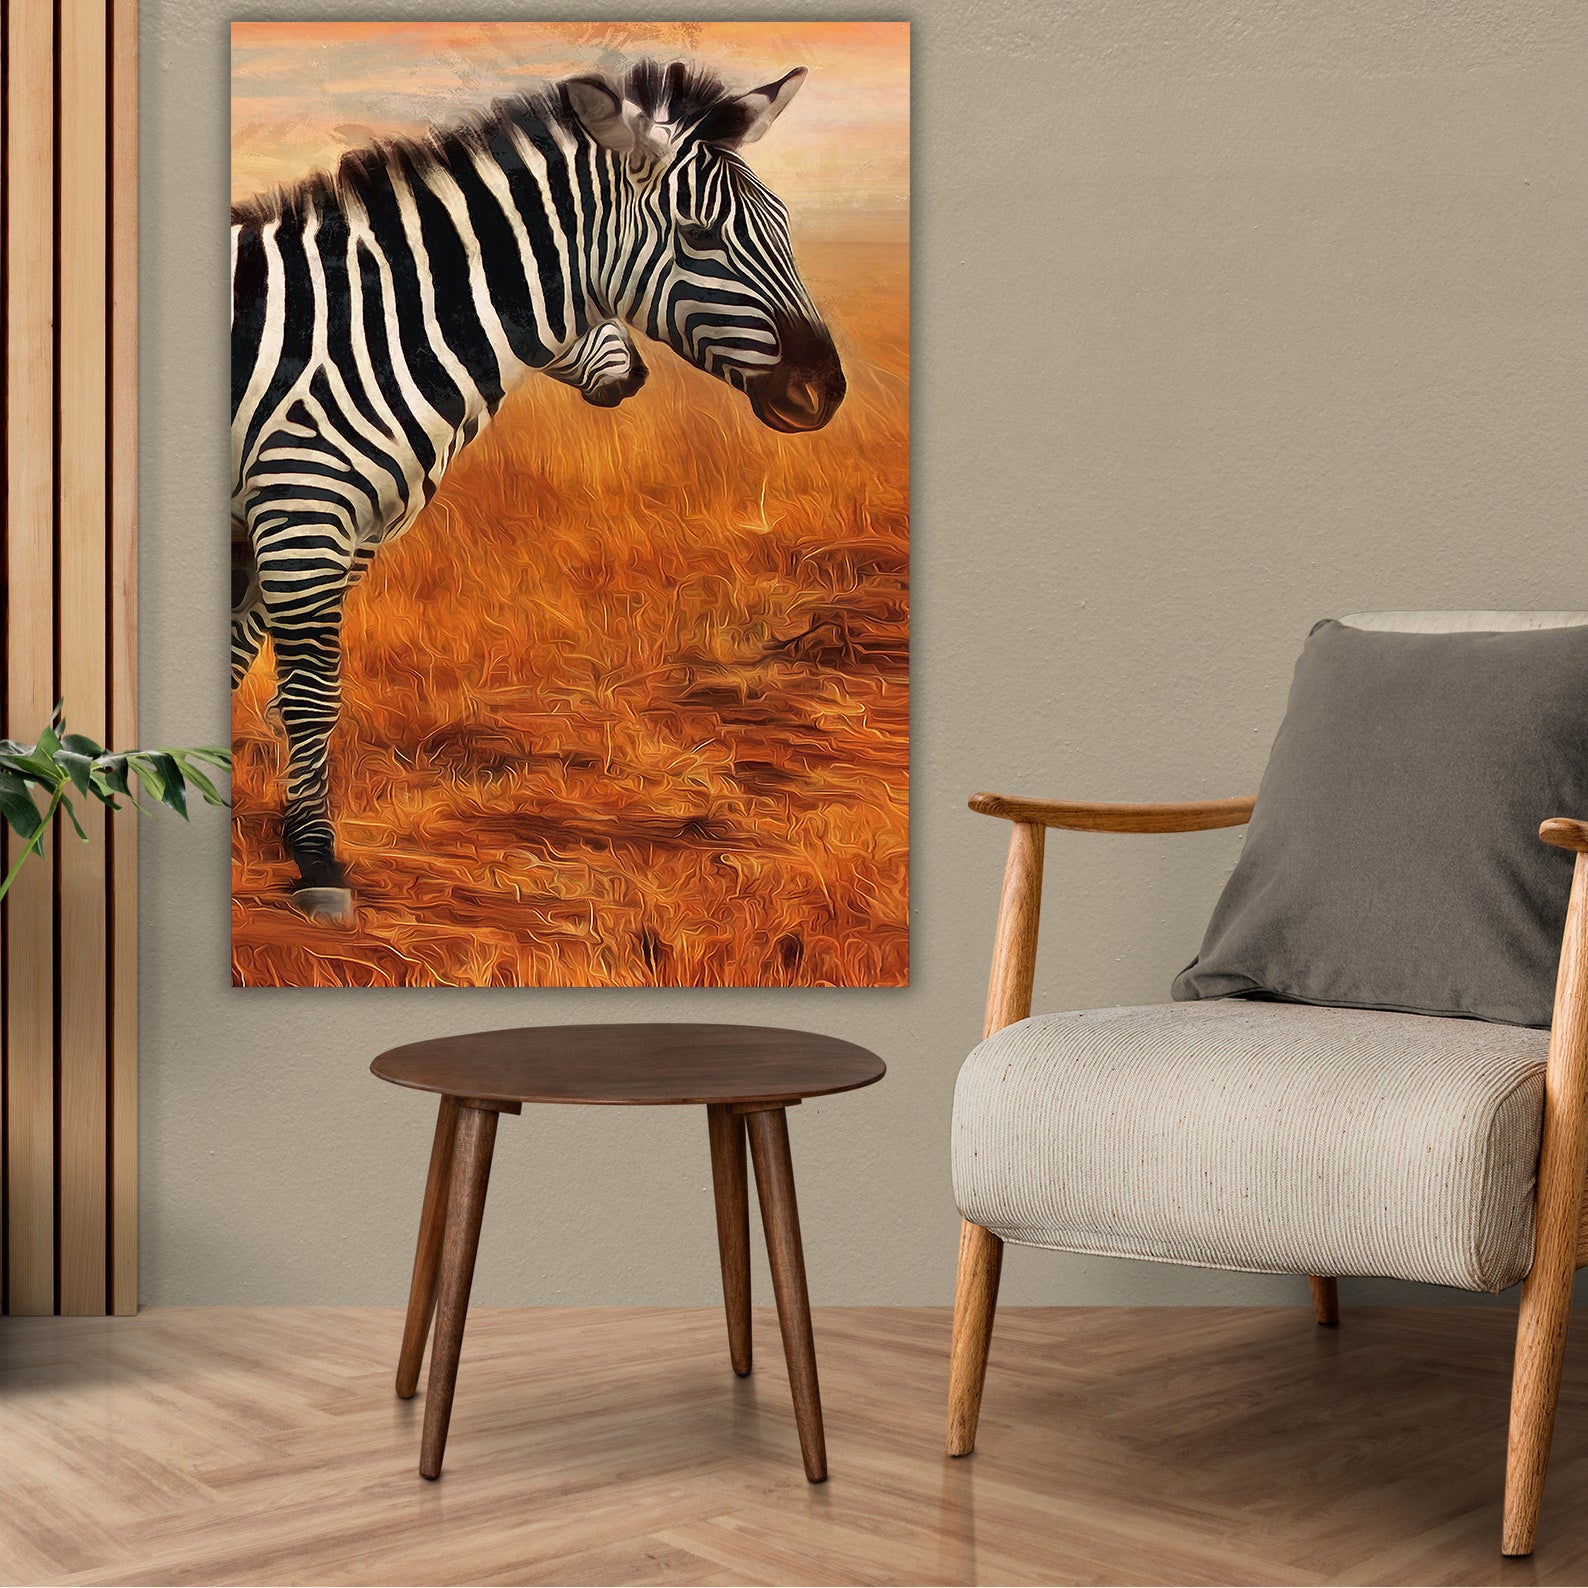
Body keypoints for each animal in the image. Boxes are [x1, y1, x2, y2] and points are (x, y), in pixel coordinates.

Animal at [231, 59, 845, 924]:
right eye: (699, 237)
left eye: (786, 223)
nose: (826, 390)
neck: (359, 332)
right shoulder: (301, 517)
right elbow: (311, 692)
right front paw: (316, 860)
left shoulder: (326, 531)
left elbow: (249, 662)